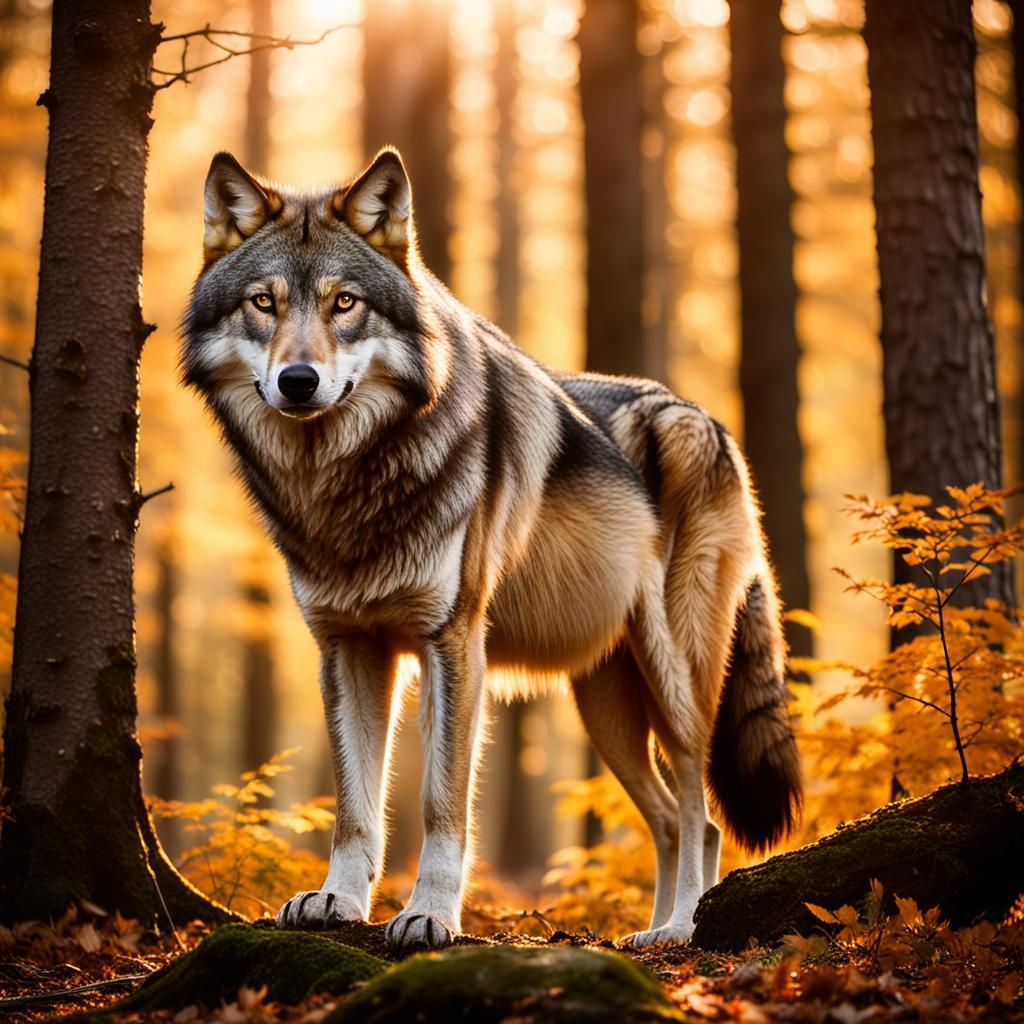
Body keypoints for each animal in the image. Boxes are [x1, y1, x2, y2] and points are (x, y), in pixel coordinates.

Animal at [183, 147, 801, 952]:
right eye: (264, 302)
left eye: (345, 303)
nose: (298, 380)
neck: (345, 484)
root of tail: (711, 419)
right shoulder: (347, 647)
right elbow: (354, 807)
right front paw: (336, 903)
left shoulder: (453, 645)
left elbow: (441, 803)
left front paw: (429, 916)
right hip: (605, 709)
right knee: (669, 817)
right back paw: (651, 930)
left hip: (676, 681)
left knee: (703, 817)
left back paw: (680, 929)